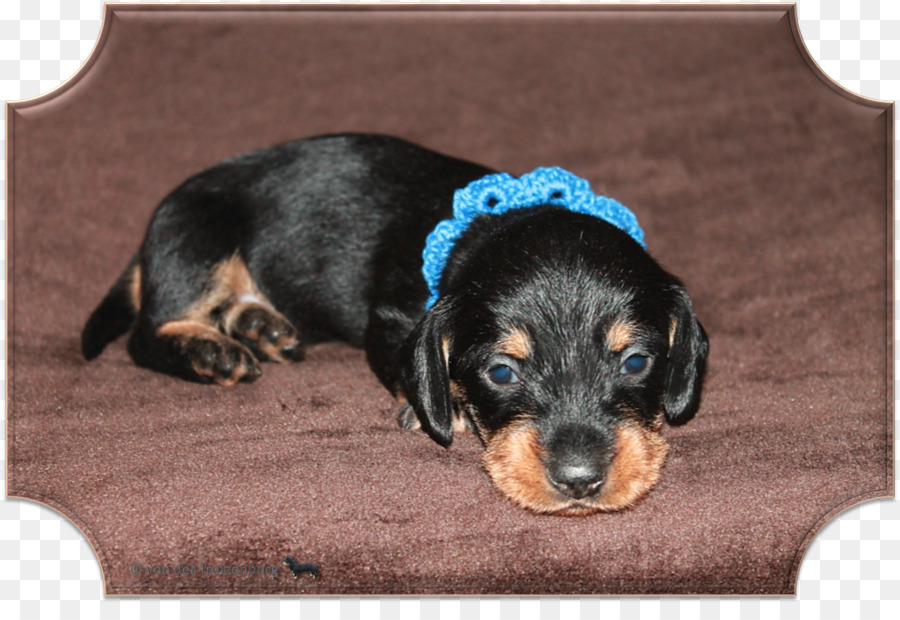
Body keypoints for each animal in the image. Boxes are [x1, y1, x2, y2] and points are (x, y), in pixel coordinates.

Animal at [81, 133, 708, 516]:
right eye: (501, 373)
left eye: (636, 362)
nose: (580, 482)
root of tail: (145, 247)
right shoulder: (391, 318)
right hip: (199, 238)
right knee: (146, 335)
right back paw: (212, 352)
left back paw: (261, 325)